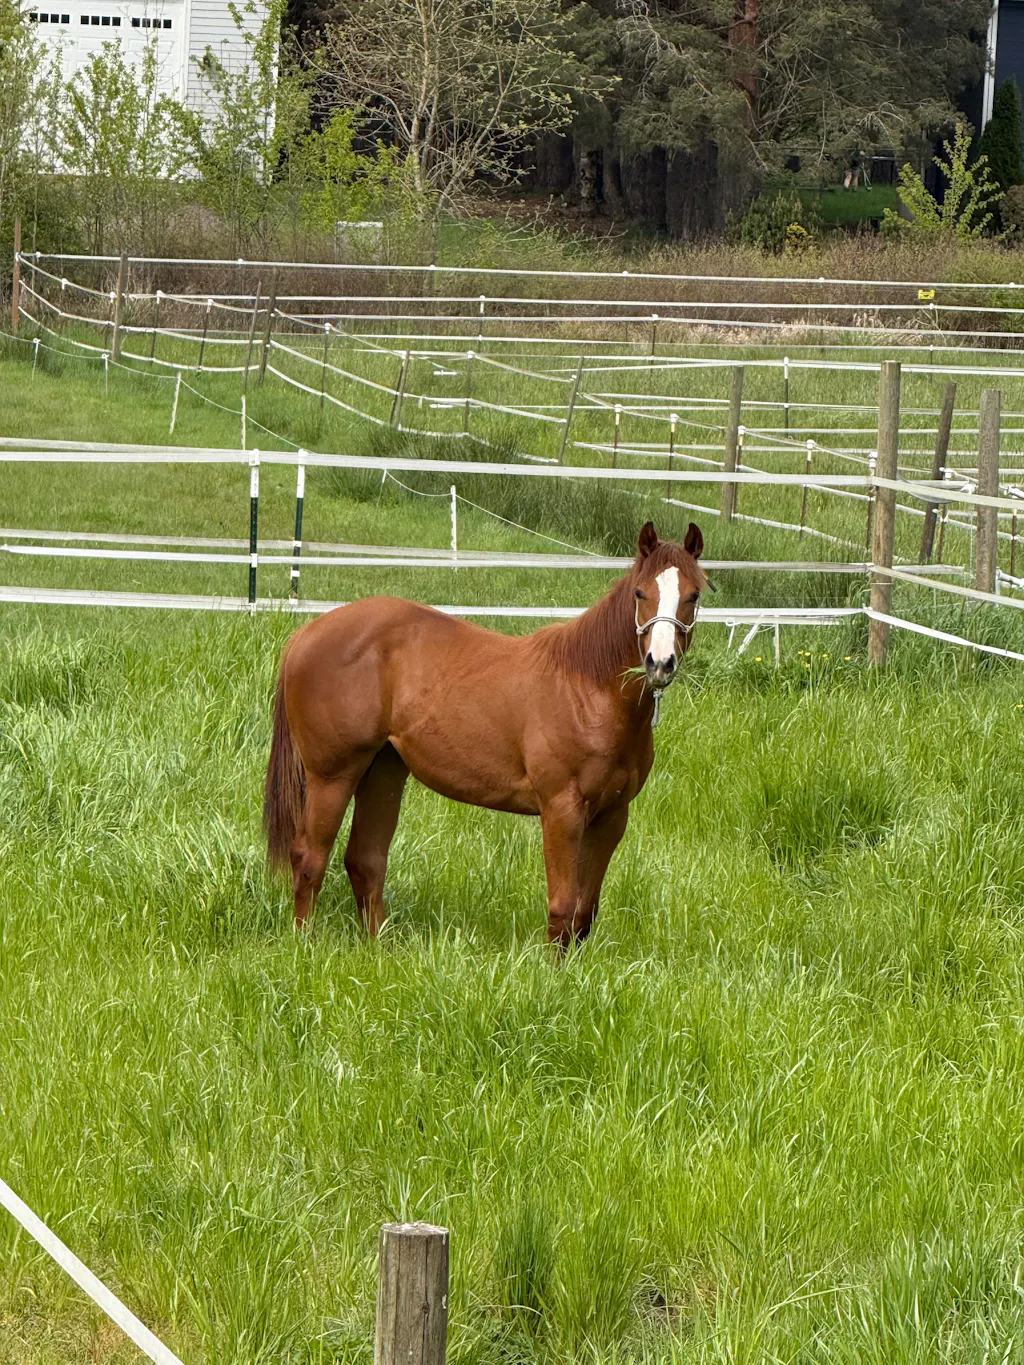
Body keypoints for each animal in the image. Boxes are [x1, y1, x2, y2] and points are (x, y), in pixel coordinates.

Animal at [263, 520, 706, 946]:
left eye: (694, 596)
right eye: (640, 592)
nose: (660, 663)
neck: (587, 690)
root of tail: (306, 634)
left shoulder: (612, 817)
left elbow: (585, 914)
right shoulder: (561, 810)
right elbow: (562, 907)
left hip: (383, 771)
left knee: (365, 861)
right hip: (333, 776)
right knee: (309, 858)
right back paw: (304, 945)